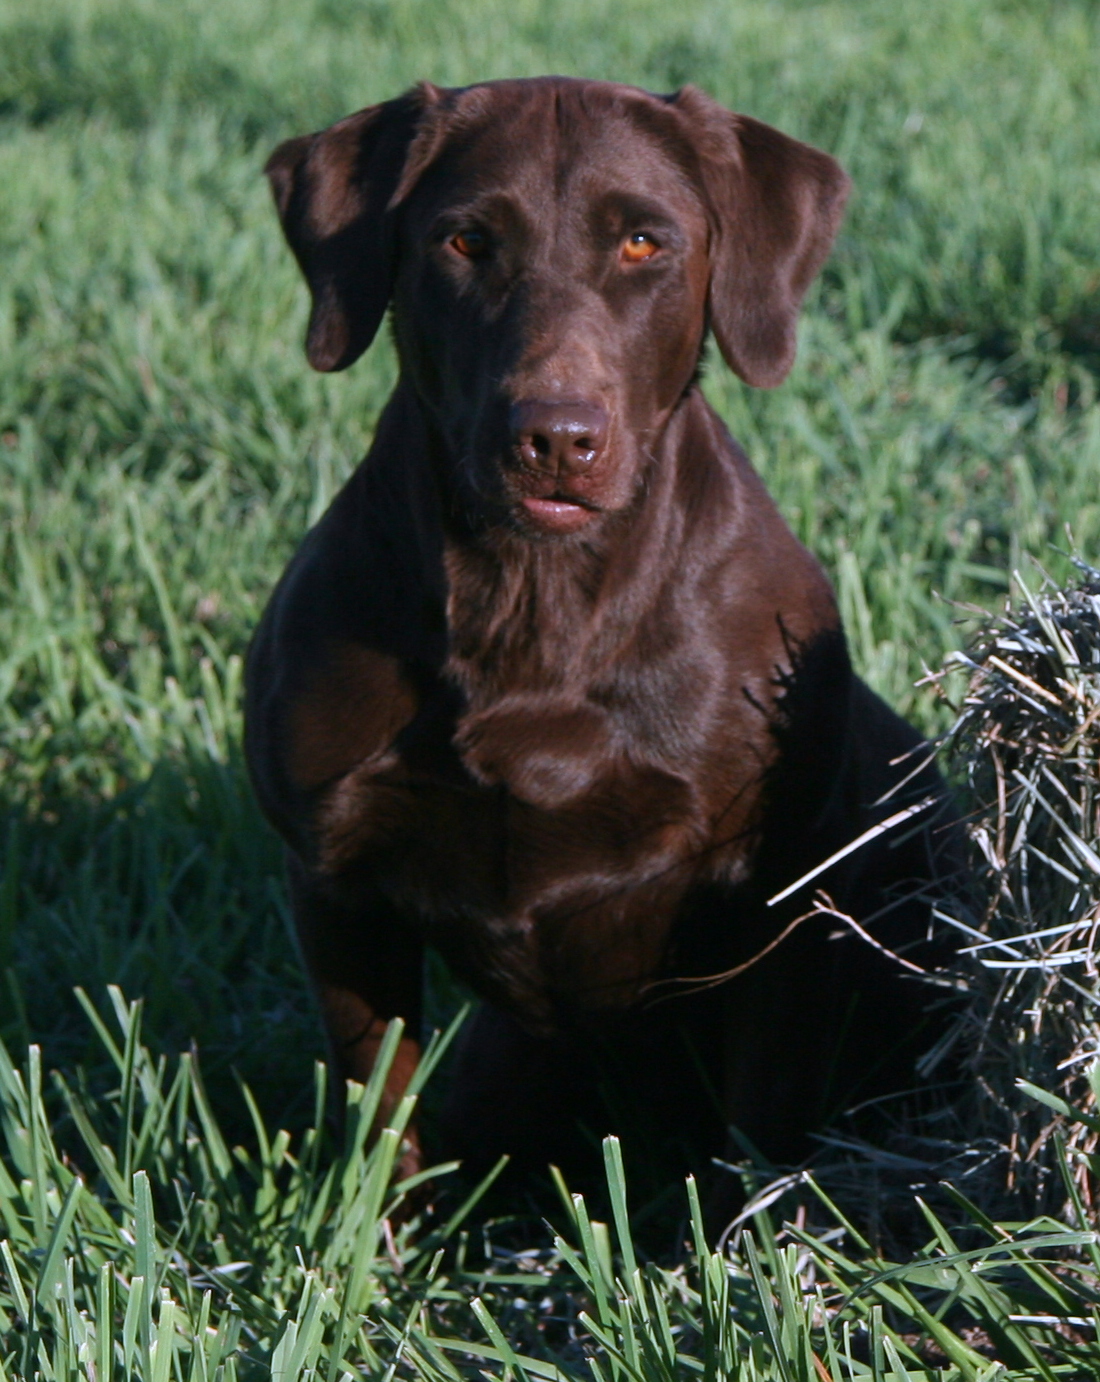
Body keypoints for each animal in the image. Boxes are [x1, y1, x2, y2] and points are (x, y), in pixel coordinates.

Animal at [247, 72, 961, 1177]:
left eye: (641, 244)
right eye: (464, 242)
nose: (553, 437)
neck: (535, 603)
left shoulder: (782, 901)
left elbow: (758, 1130)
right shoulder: (334, 885)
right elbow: (383, 1116)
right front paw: (377, 1225)